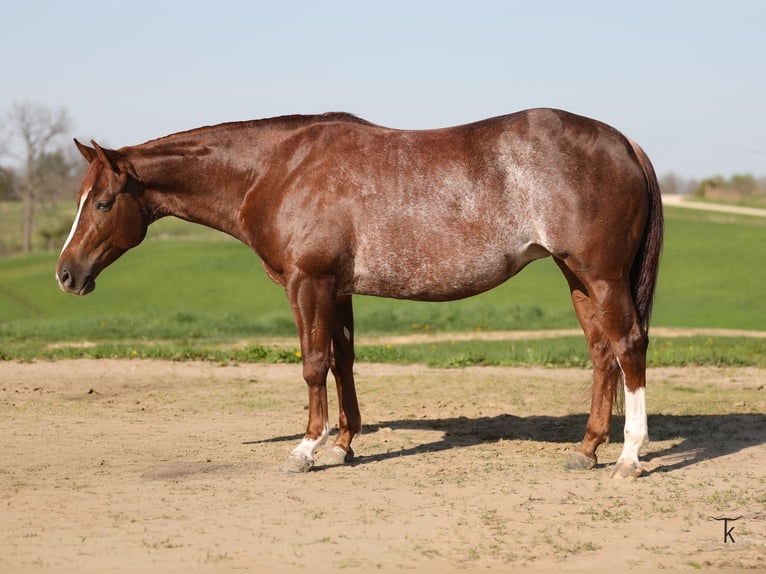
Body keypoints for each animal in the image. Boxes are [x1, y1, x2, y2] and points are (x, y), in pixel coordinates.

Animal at [55, 108, 663, 479]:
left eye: (102, 202)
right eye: (81, 199)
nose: (65, 274)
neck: (279, 169)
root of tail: (625, 142)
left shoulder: (308, 282)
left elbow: (312, 363)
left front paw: (305, 449)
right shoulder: (337, 290)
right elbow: (342, 360)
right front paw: (343, 443)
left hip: (601, 276)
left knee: (629, 347)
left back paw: (629, 456)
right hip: (577, 276)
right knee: (602, 354)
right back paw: (586, 449)